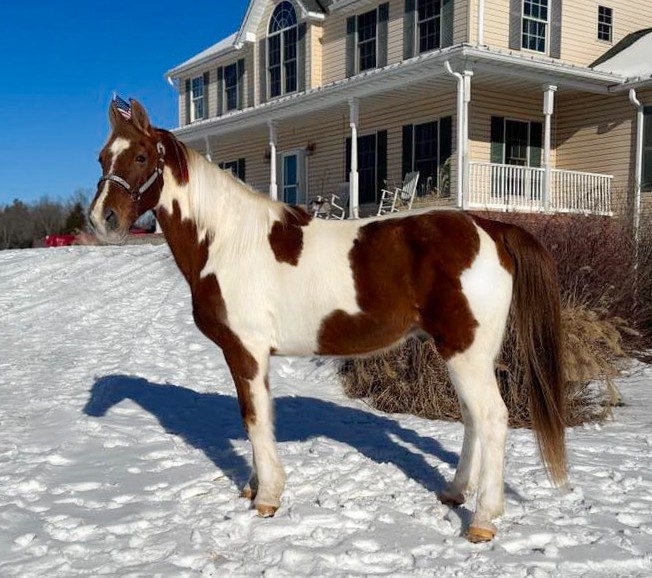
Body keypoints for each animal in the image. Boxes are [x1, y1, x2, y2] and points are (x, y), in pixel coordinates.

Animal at [89, 99, 567, 543]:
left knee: (492, 417)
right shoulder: (249, 354)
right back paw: (453, 492)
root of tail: (489, 226)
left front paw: (267, 498)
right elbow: (255, 415)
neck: (226, 240)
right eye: (101, 157)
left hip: (466, 352)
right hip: (461, 352)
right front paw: (254, 487)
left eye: (141, 157)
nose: (101, 219)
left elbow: (254, 417)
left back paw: (483, 521)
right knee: (472, 418)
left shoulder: (246, 350)